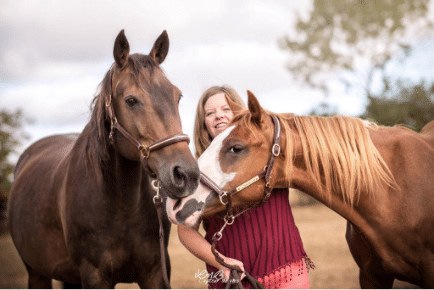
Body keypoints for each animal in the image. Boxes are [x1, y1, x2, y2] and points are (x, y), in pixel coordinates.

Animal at [7, 29, 200, 288]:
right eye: (131, 100)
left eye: (177, 96)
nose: (186, 174)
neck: (120, 204)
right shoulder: (94, 275)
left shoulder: (156, 272)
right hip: (37, 273)